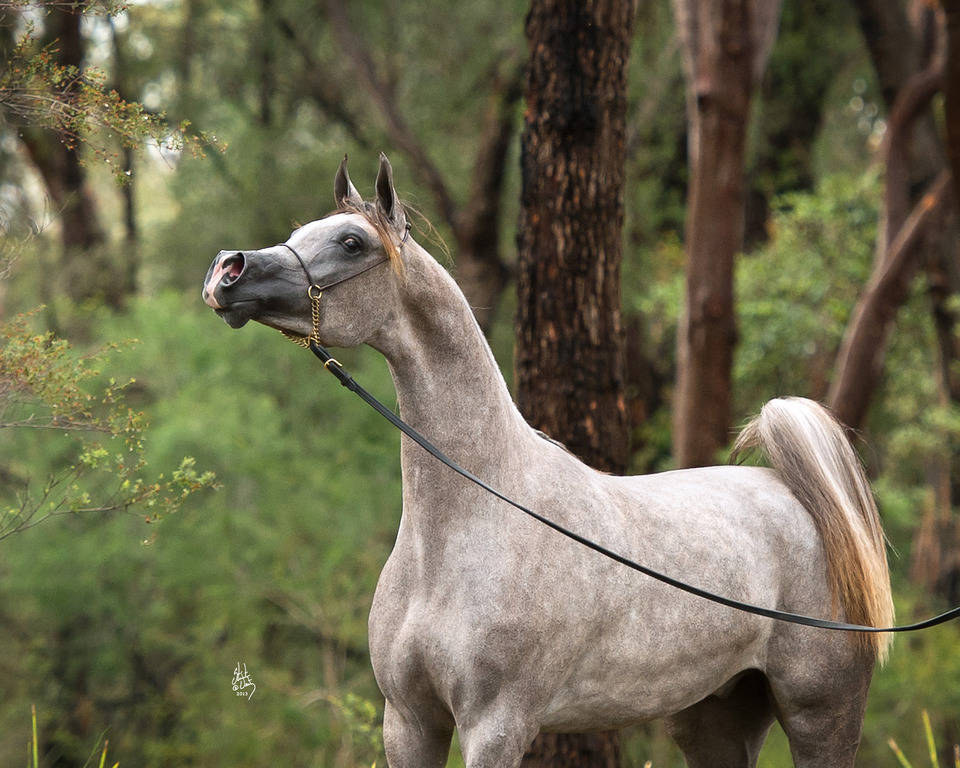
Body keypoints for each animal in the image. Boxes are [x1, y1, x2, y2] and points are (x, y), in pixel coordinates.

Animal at [202, 154, 894, 768]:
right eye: (300, 233)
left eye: (351, 242)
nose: (227, 271)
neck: (465, 525)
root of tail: (801, 498)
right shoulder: (409, 721)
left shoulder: (496, 724)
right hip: (715, 717)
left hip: (822, 712)